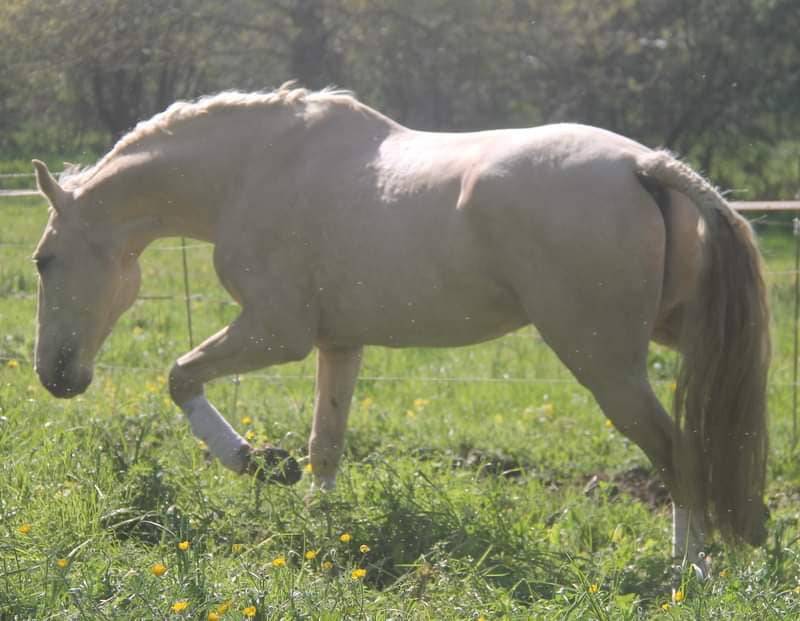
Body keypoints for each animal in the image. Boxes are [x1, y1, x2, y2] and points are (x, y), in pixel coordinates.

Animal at [31, 84, 770, 578]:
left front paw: (259, 463)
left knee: (677, 451)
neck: (254, 170)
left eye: (43, 260)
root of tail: (644, 166)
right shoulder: (338, 344)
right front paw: (320, 530)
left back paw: (687, 571)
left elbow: (181, 376)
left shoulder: (276, 332)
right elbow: (325, 447)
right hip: (672, 340)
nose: (55, 377)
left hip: (607, 366)